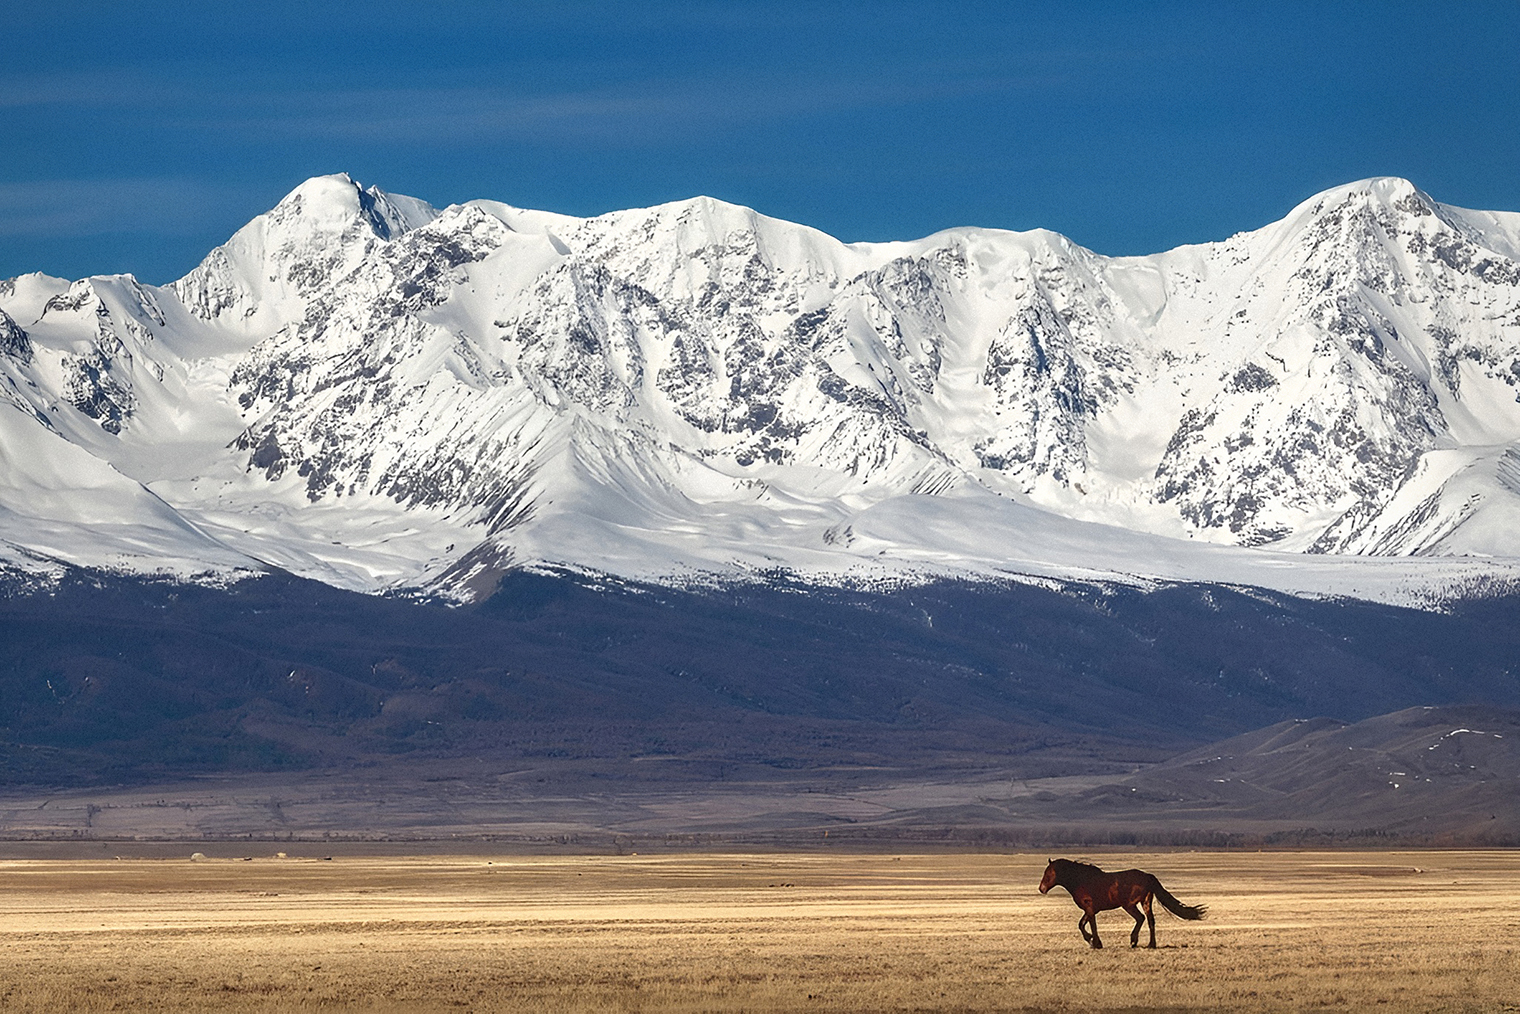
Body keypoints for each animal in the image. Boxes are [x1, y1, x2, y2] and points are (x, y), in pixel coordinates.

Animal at [1039, 863, 1203, 948]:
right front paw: (1091, 941)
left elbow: (1091, 925)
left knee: (1140, 918)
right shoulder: (1090, 910)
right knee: (1150, 921)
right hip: (1145, 902)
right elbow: (1081, 925)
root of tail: (1148, 876)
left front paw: (1096, 942)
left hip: (1129, 905)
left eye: (1048, 874)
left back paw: (1134, 940)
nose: (1041, 888)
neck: (1081, 880)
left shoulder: (1090, 908)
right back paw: (1151, 944)